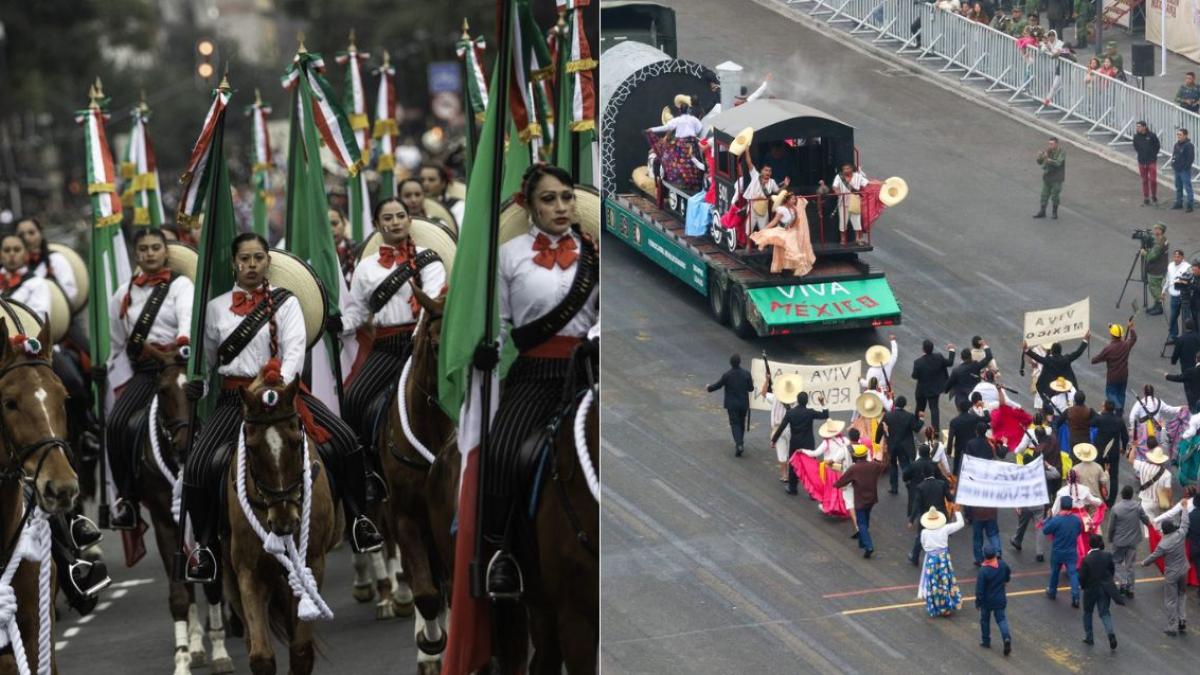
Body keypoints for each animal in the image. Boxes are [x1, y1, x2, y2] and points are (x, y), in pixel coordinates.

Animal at [133, 345, 231, 672]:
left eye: (194, 391)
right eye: (162, 390)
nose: (180, 444)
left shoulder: (206, 522)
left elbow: (214, 584)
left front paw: (220, 650)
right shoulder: (165, 523)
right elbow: (180, 593)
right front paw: (184, 657)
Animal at [222, 369, 340, 667]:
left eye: (296, 442)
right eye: (252, 448)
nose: (285, 522)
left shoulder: (313, 563)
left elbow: (301, 650)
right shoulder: (247, 572)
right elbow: (261, 655)